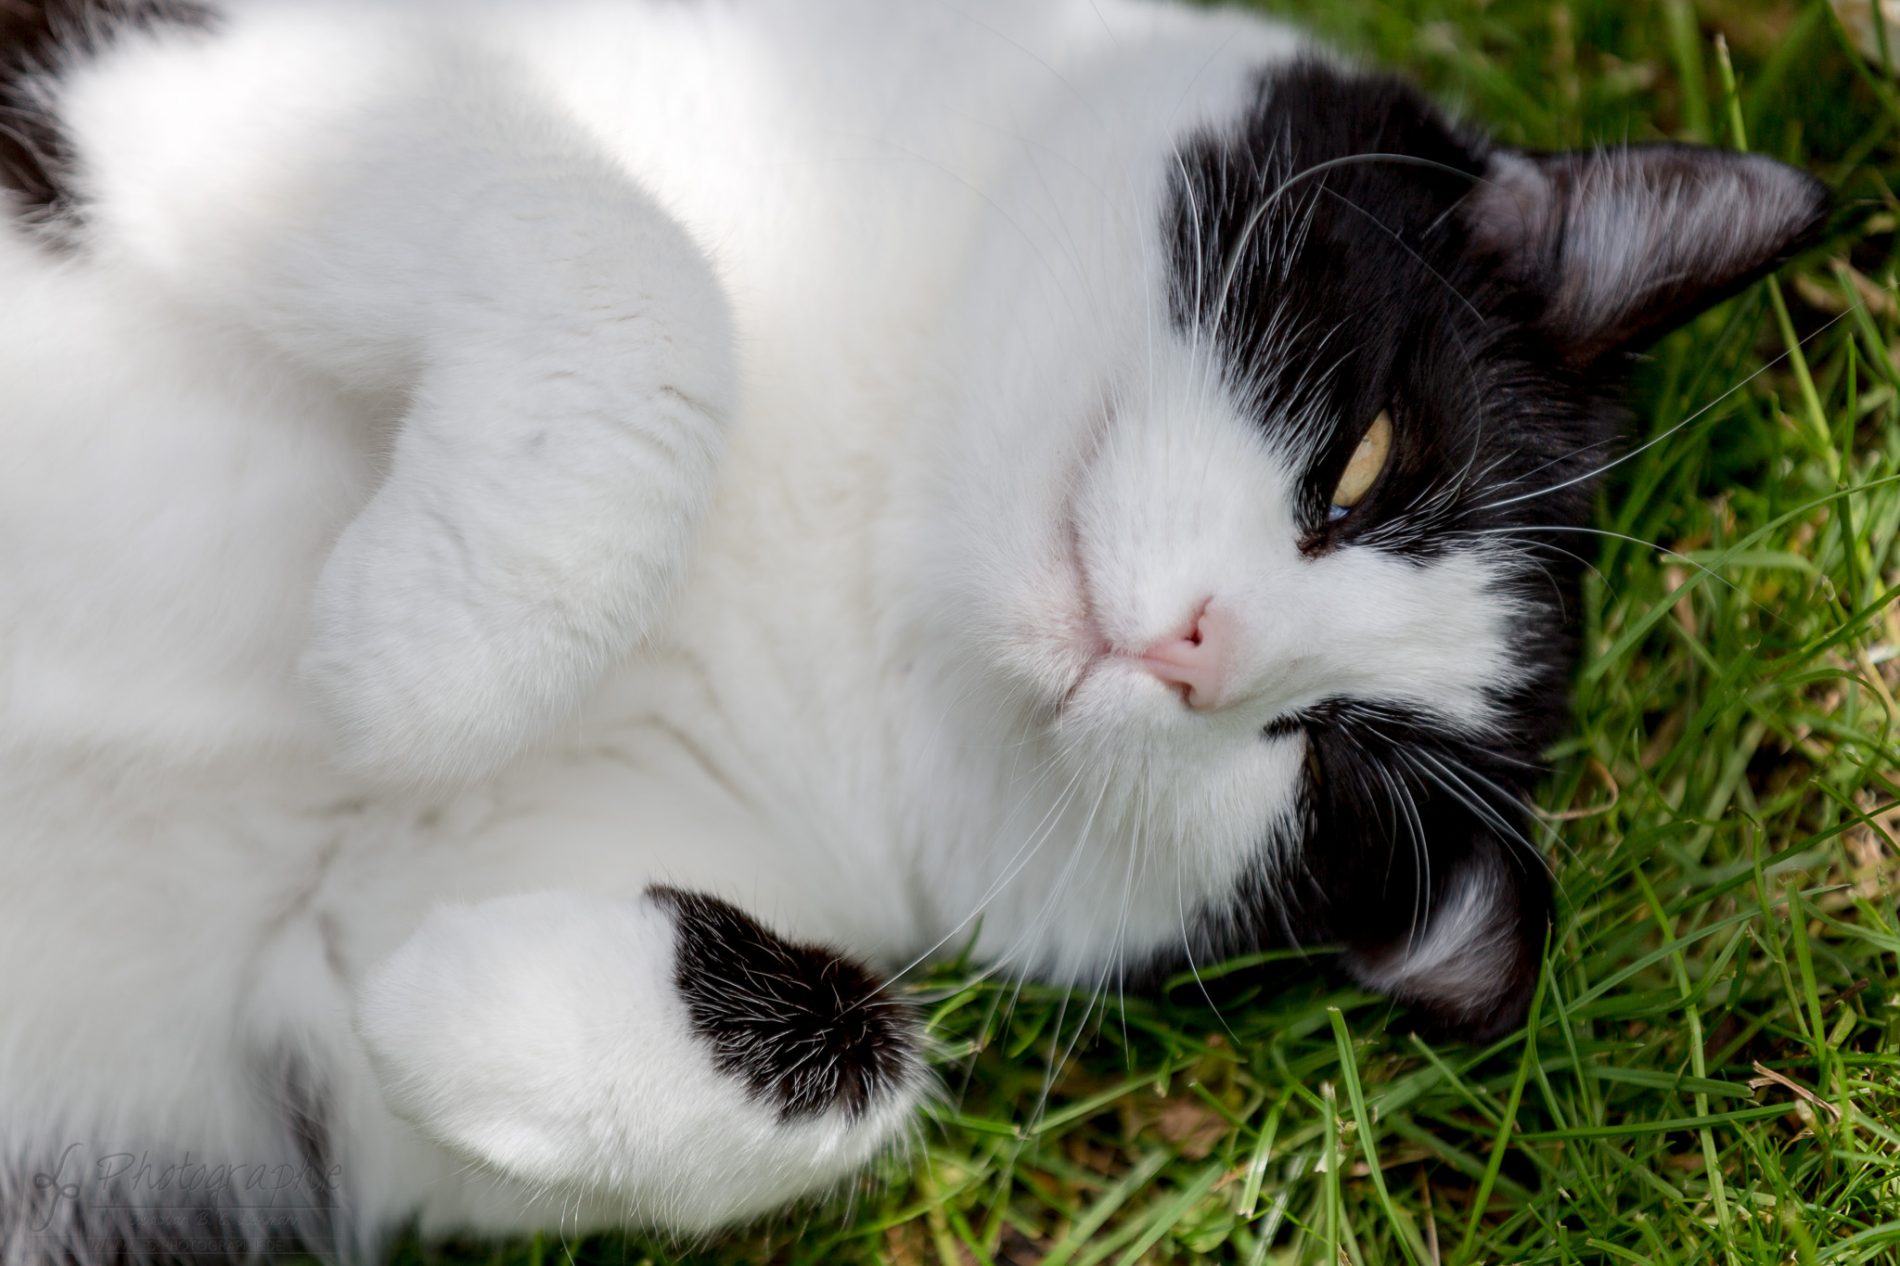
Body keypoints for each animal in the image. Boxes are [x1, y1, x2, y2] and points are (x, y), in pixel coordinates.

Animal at [0, 0, 1831, 1254]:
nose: (1202, 646)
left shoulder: (313, 1055)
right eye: (1374, 463)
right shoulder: (222, 65)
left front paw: (445, 996)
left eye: (1329, 773)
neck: (871, 538)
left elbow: (847, 1056)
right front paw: (437, 651)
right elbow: (640, 276)